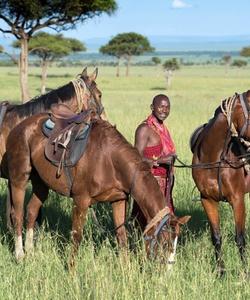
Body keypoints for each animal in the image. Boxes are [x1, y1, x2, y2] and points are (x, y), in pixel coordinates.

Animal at [4, 113, 189, 266]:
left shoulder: (118, 200)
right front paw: (71, 271)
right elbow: (77, 236)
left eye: (176, 244)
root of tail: (18, 127)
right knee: (18, 214)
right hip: (19, 179)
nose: (167, 272)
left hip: (41, 183)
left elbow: (121, 236)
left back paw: (31, 252)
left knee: (31, 211)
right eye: (165, 243)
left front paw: (126, 269)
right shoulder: (81, 200)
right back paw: (20, 255)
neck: (109, 159)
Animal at [190, 91, 250, 274]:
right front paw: (221, 271)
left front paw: (244, 271)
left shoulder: (237, 200)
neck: (213, 159)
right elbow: (216, 237)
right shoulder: (207, 200)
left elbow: (240, 238)